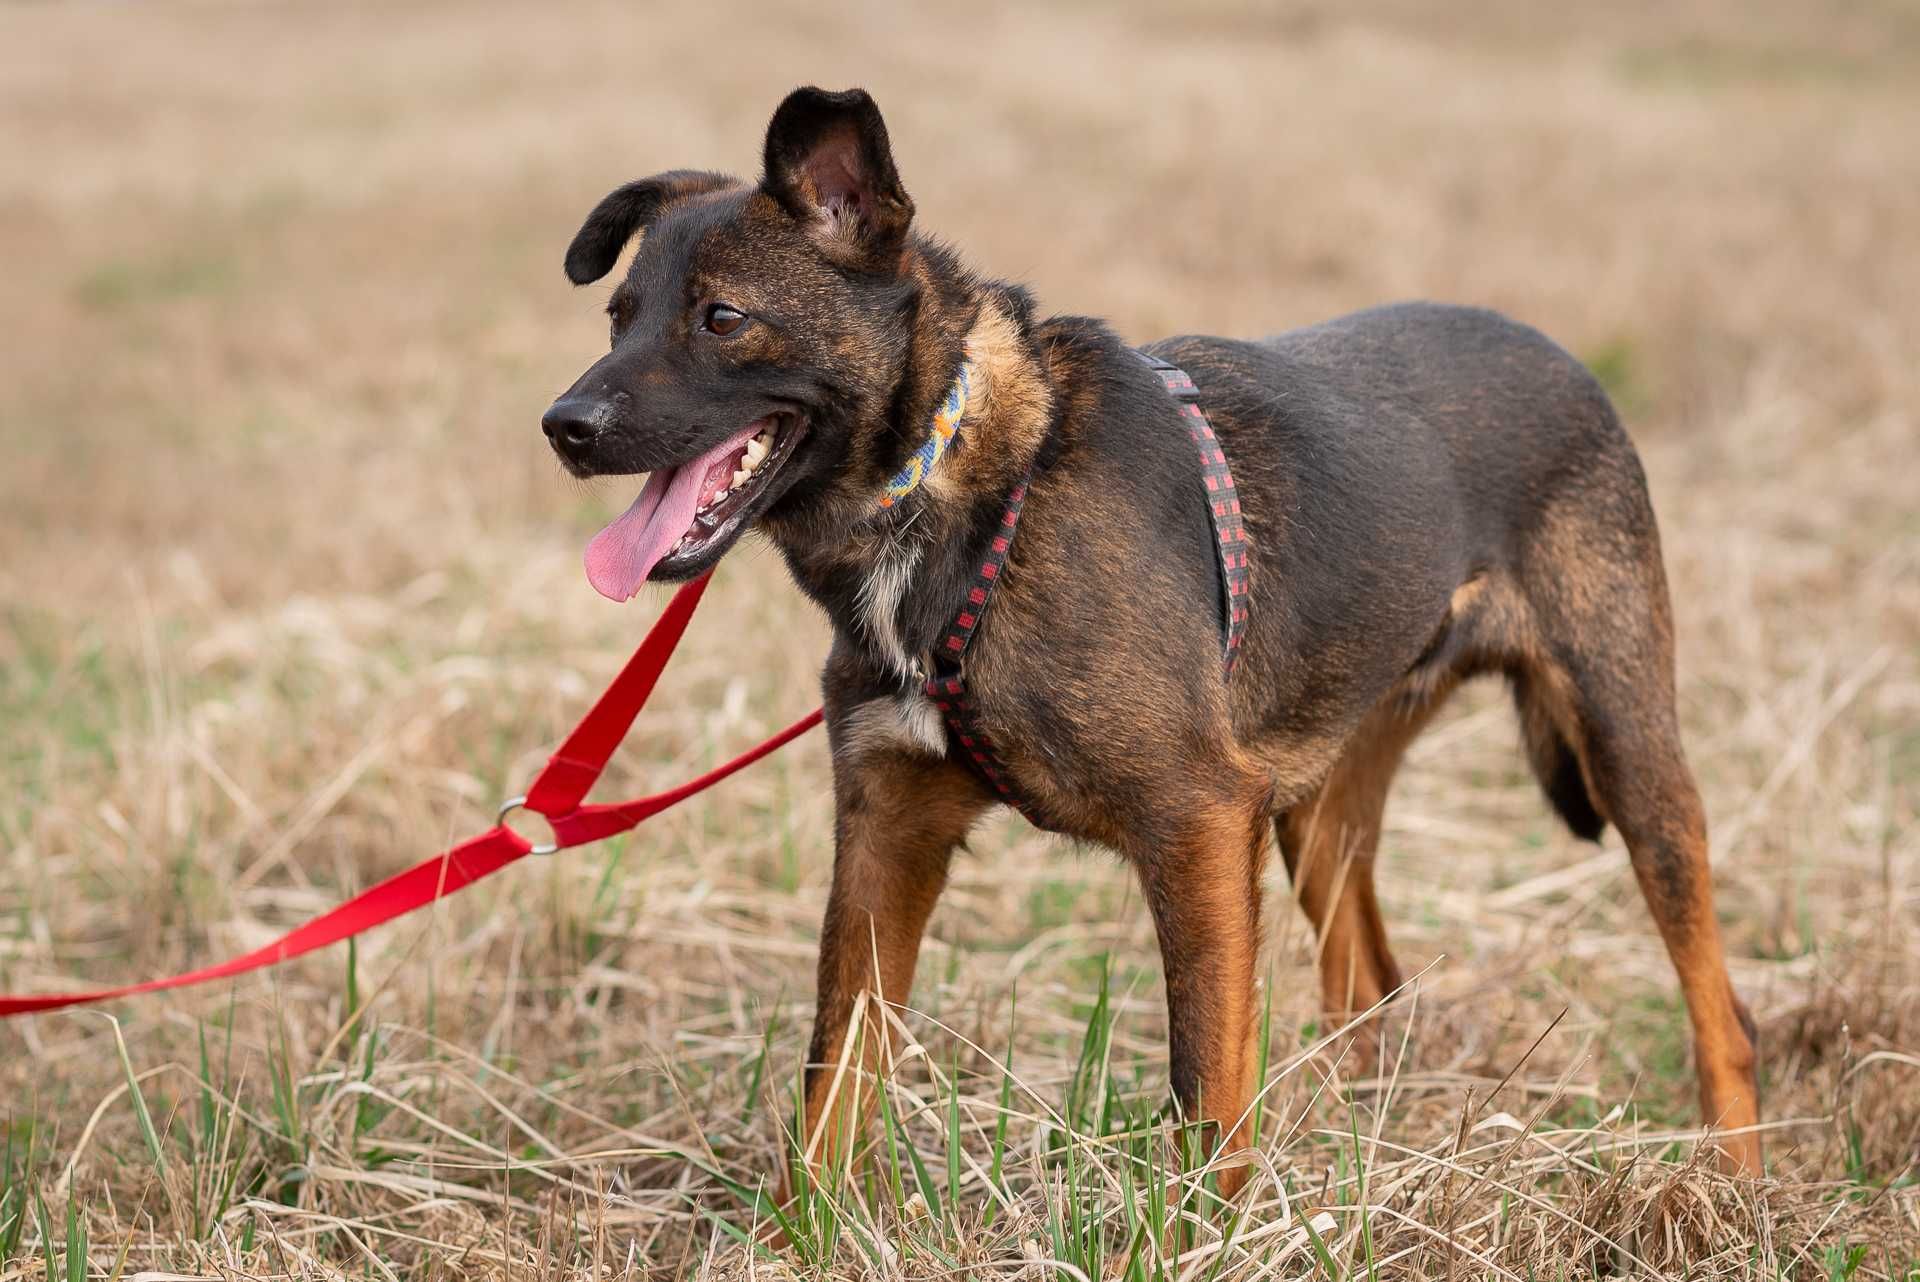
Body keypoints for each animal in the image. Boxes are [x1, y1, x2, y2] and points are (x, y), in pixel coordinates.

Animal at [537, 87, 1758, 1189]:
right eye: (617, 317)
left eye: (721, 318)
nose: (564, 427)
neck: (973, 483)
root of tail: (1564, 356)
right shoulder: (886, 831)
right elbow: (833, 1078)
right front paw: (810, 1233)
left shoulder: (1198, 825)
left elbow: (1206, 1088)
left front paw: (1208, 1237)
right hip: (1317, 812)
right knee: (1369, 983)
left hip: (1627, 746)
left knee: (1719, 1007)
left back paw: (1730, 1189)